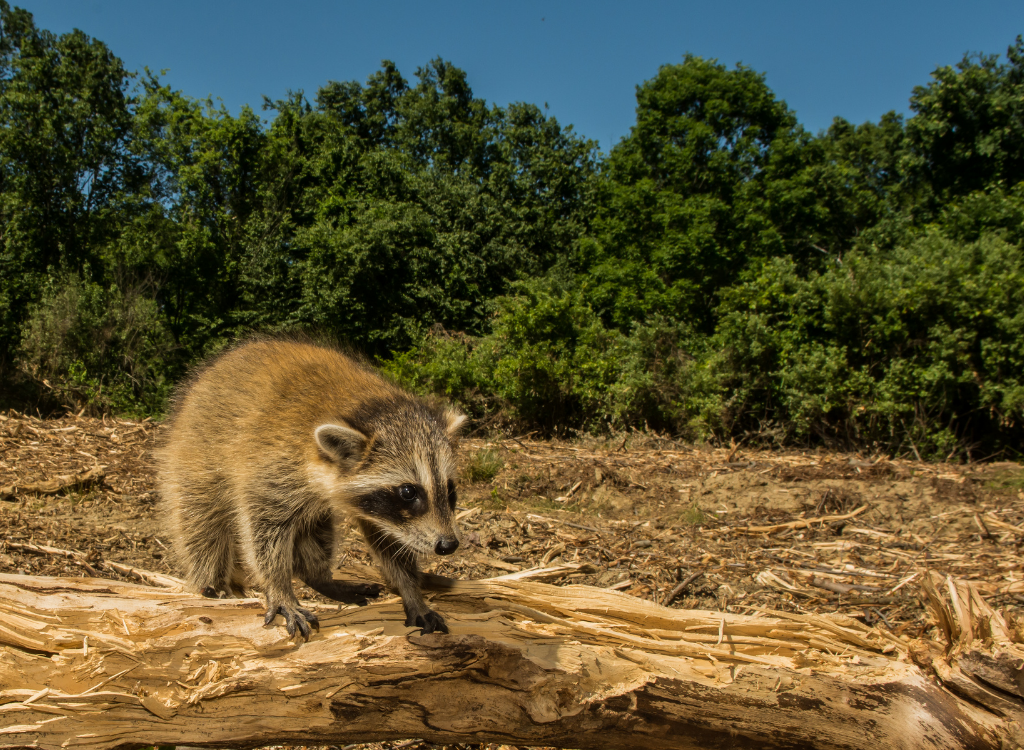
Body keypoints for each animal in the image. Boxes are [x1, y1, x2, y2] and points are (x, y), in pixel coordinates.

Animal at [155, 340, 464, 639]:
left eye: (450, 489)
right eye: (408, 492)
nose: (448, 545)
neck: (373, 404)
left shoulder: (384, 514)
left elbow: (391, 543)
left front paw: (412, 592)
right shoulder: (272, 464)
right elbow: (263, 530)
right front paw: (279, 588)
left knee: (315, 533)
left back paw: (320, 578)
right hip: (196, 456)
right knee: (201, 524)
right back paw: (211, 581)